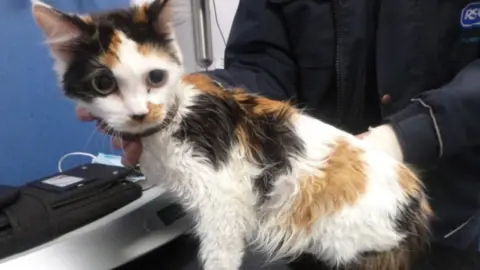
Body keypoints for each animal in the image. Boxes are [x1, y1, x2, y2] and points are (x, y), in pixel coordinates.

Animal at [31, 1, 434, 268]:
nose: (140, 111)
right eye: (103, 83)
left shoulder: (221, 202)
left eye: (155, 77)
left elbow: (218, 254)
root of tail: (415, 195)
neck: (173, 121)